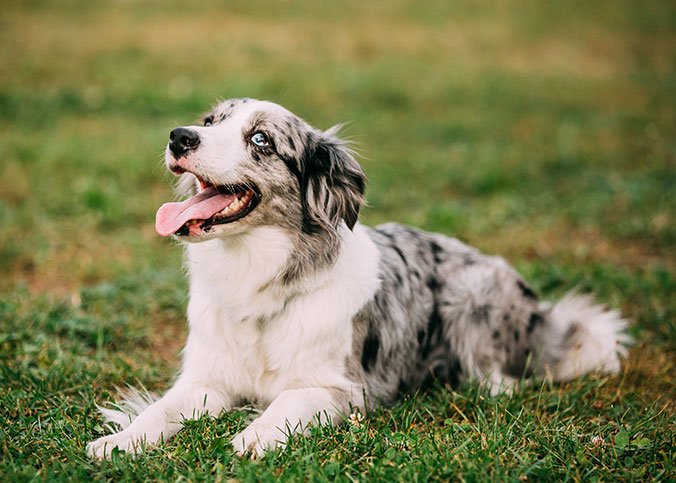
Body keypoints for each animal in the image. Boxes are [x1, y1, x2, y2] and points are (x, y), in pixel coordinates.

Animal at [87, 99, 632, 462]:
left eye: (261, 140)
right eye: (208, 123)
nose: (179, 136)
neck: (258, 281)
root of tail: (539, 312)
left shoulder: (341, 388)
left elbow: (288, 401)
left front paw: (253, 435)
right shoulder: (207, 379)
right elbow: (160, 410)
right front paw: (118, 441)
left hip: (473, 296)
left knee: (504, 380)